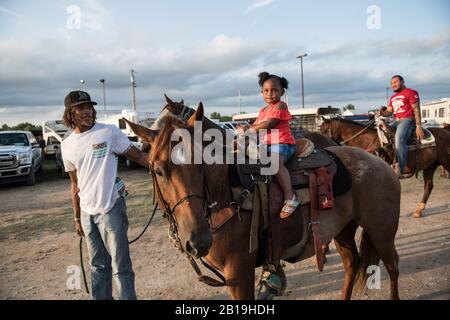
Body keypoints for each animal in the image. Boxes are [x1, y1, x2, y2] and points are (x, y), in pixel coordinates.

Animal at [124, 100, 400, 300]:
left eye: (201, 165)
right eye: (158, 170)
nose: (199, 240)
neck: (227, 195)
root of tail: (381, 163)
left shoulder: (239, 273)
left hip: (382, 232)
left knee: (392, 265)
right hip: (343, 230)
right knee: (352, 264)